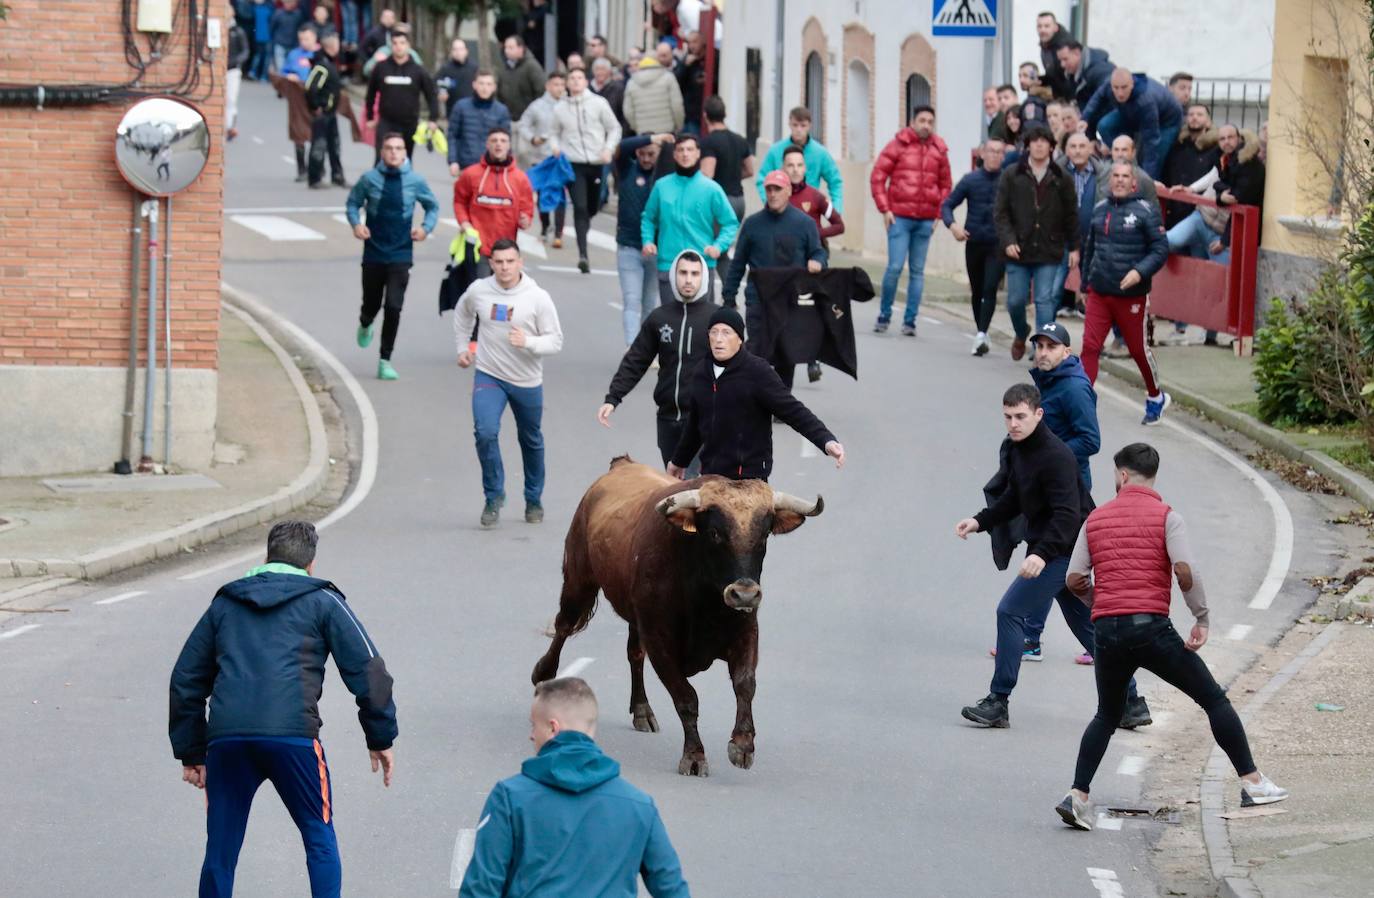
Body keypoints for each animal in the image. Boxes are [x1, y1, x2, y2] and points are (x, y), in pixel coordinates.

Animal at [530, 461, 818, 779]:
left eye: (764, 535)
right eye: (715, 532)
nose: (744, 594)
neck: (704, 599)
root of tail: (622, 464)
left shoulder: (746, 632)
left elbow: (745, 684)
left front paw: (743, 745)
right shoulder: (660, 641)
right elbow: (686, 698)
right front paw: (694, 756)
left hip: (634, 617)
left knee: (634, 654)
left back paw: (642, 710)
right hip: (579, 581)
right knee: (563, 627)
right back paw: (543, 674)